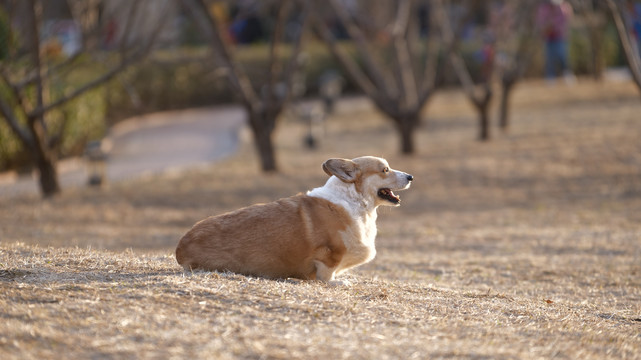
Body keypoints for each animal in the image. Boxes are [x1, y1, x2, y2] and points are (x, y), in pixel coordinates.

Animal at [175, 156, 412, 282]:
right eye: (385, 169)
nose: (411, 176)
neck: (354, 200)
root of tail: (180, 248)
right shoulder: (328, 255)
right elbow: (326, 275)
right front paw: (338, 282)